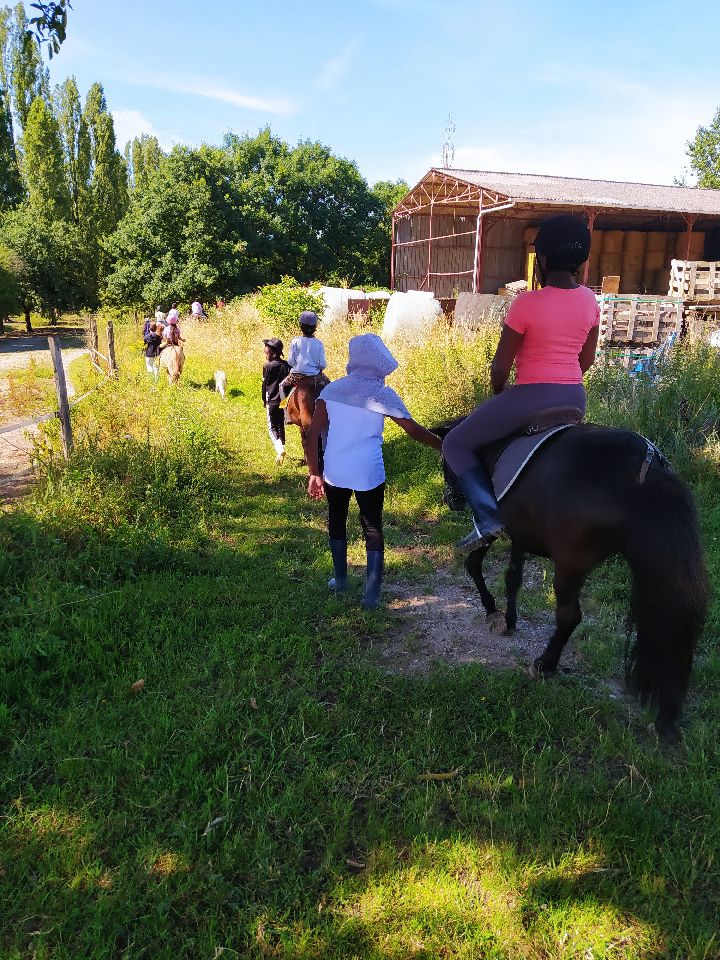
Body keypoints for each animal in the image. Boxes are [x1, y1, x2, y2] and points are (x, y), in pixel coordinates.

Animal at [438, 420, 708, 744]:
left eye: (444, 460)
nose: (451, 500)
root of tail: (646, 465)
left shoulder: (496, 529)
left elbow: (474, 564)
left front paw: (492, 610)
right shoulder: (520, 536)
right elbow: (513, 578)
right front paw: (510, 619)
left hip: (569, 565)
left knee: (569, 616)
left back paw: (545, 664)